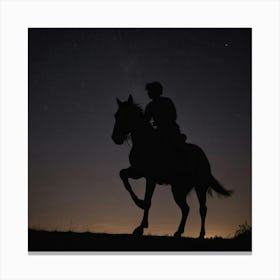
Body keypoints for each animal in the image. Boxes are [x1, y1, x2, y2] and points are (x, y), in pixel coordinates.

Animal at [111, 95, 232, 237]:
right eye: (116, 115)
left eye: (126, 115)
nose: (115, 138)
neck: (145, 141)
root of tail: (203, 157)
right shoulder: (138, 171)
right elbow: (123, 175)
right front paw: (139, 203)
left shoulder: (150, 178)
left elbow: (148, 200)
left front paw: (140, 227)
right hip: (178, 189)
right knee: (186, 209)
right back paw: (179, 231)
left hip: (199, 186)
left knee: (202, 208)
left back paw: (201, 234)